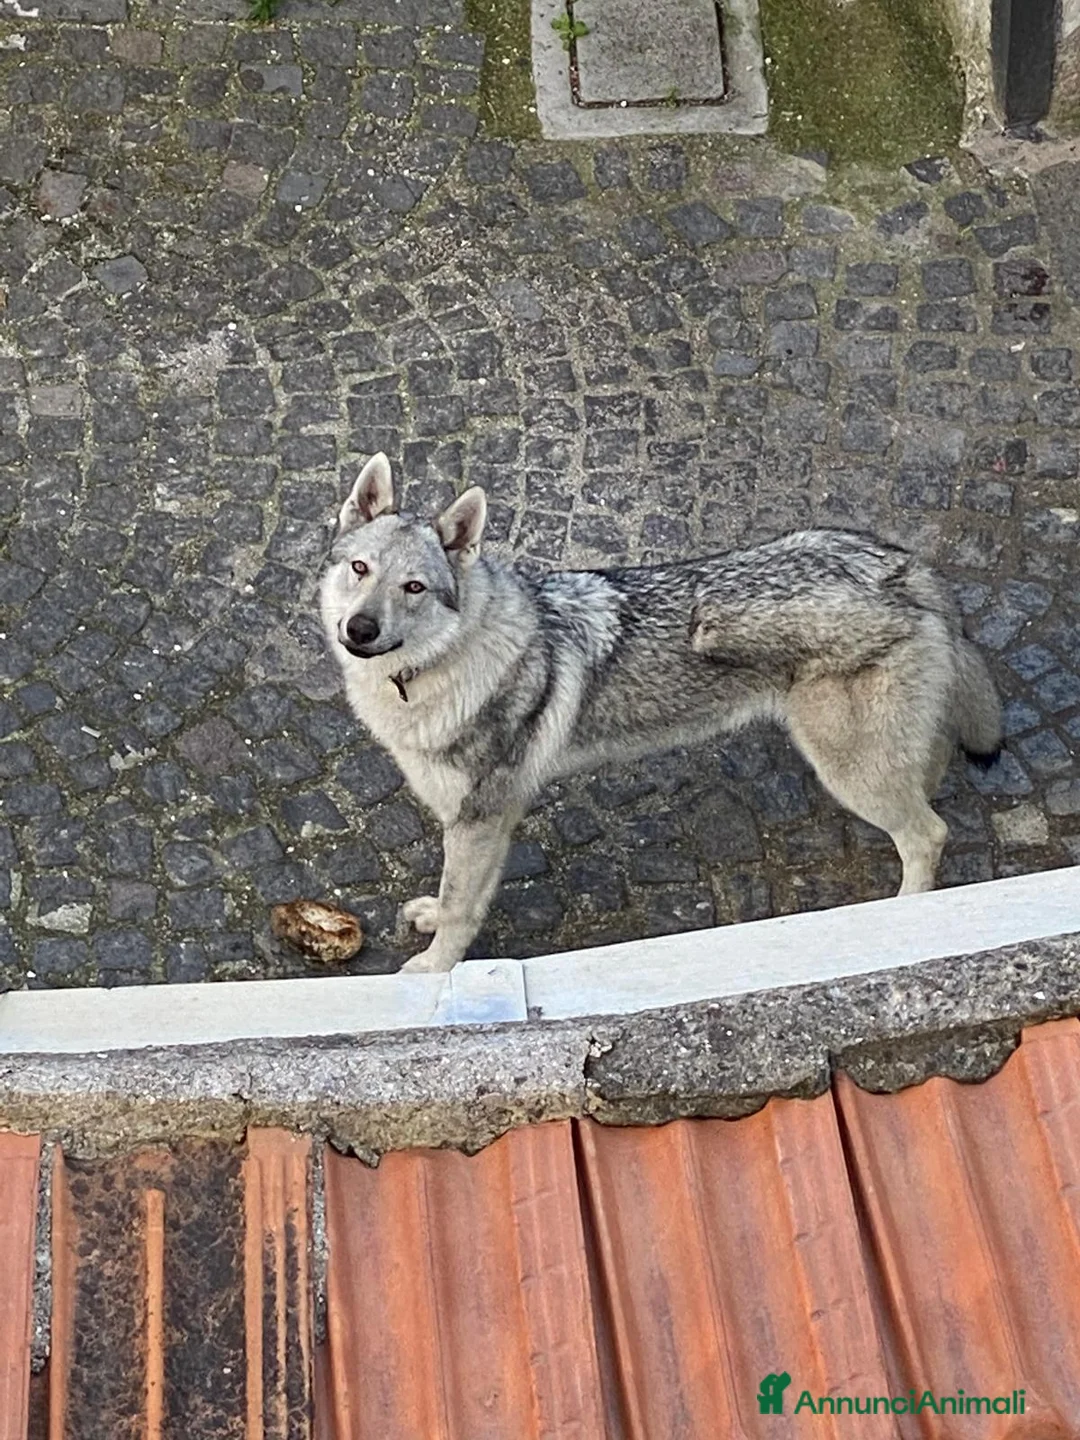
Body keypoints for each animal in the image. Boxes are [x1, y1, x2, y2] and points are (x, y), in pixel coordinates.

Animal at [320, 453, 1002, 973]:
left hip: (852, 773)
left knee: (928, 834)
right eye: (360, 569)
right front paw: (431, 924)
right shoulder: (479, 821)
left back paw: (902, 918)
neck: (443, 667)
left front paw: (433, 972)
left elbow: (462, 908)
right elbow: (458, 897)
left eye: (414, 587)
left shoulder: (480, 820)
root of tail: (904, 567)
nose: (359, 629)